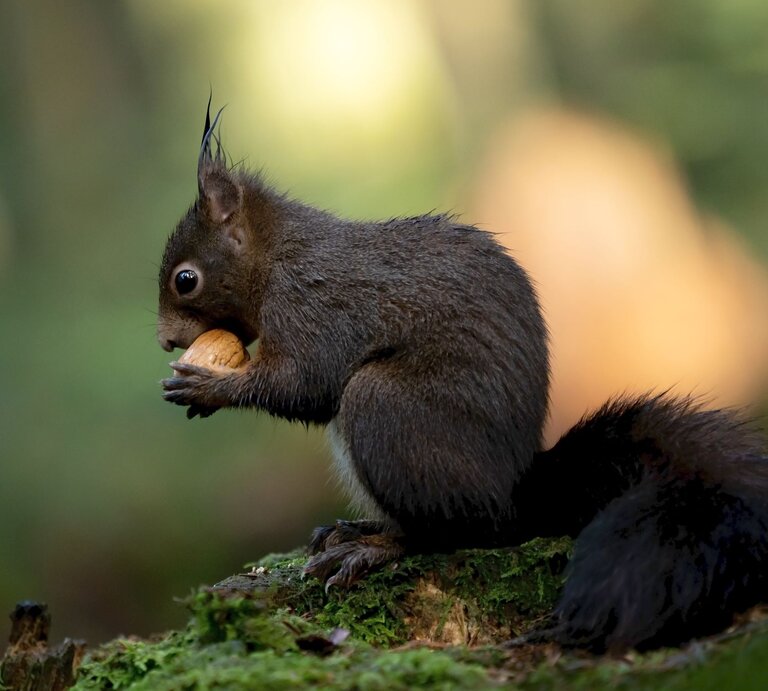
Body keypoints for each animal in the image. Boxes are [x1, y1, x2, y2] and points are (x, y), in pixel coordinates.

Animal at [159, 101, 768, 652]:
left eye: (185, 279)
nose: (166, 340)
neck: (277, 256)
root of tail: (515, 496)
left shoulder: (314, 305)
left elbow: (306, 385)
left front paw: (208, 387)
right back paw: (357, 530)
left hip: (387, 409)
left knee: (455, 532)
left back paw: (376, 547)